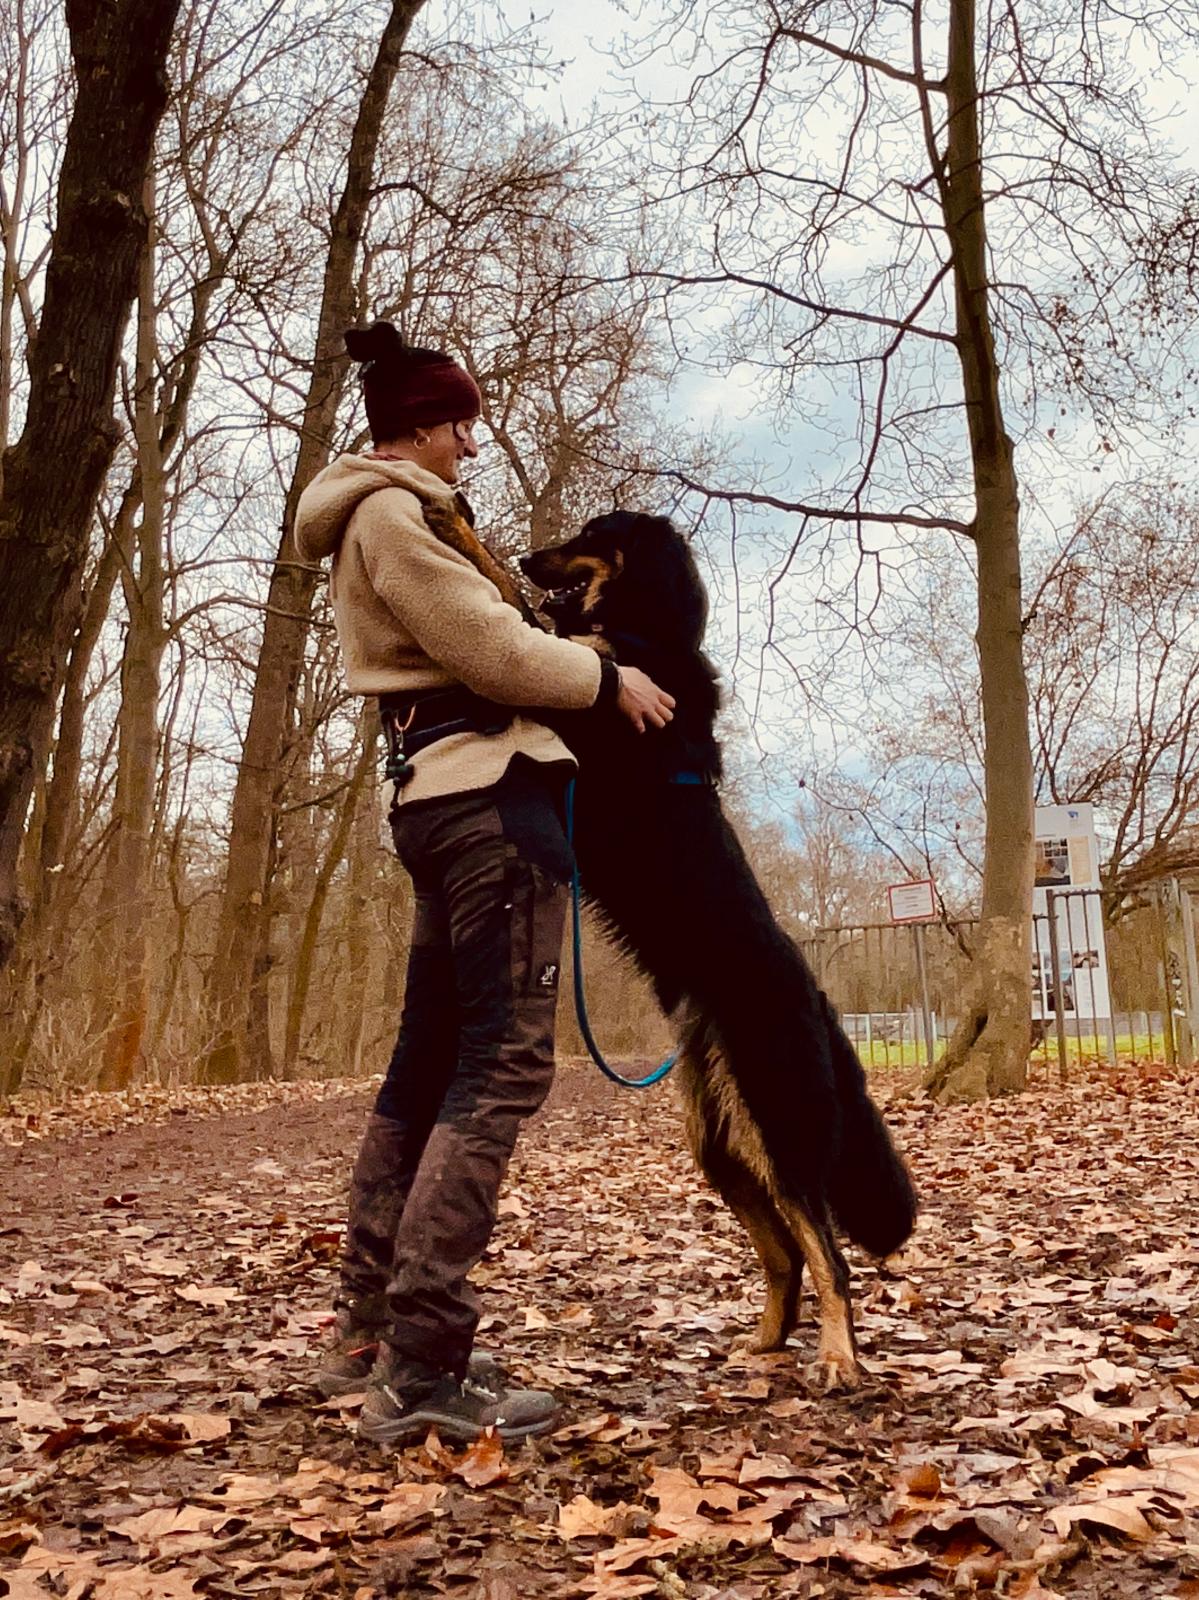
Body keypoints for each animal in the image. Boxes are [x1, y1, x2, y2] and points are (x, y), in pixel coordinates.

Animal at [520, 512, 917, 1385]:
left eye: (592, 530)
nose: (528, 555)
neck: (649, 636)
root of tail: (820, 1004)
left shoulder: (591, 713)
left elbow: (554, 646)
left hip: (778, 1129)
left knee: (829, 1258)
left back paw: (836, 1359)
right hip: (722, 1147)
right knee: (786, 1256)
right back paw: (764, 1344)